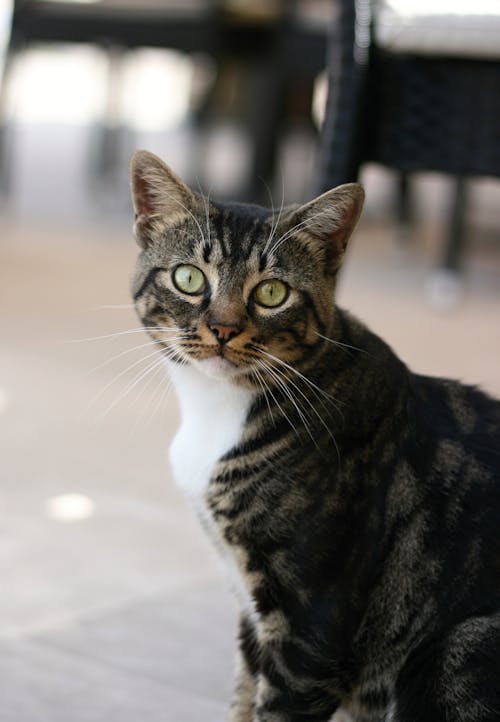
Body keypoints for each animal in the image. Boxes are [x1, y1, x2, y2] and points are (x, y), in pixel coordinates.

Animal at [130, 150, 500, 720]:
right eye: (189, 278)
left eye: (271, 292)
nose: (223, 328)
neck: (217, 411)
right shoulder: (251, 608)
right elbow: (242, 694)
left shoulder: (311, 625)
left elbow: (275, 704)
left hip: (461, 646)